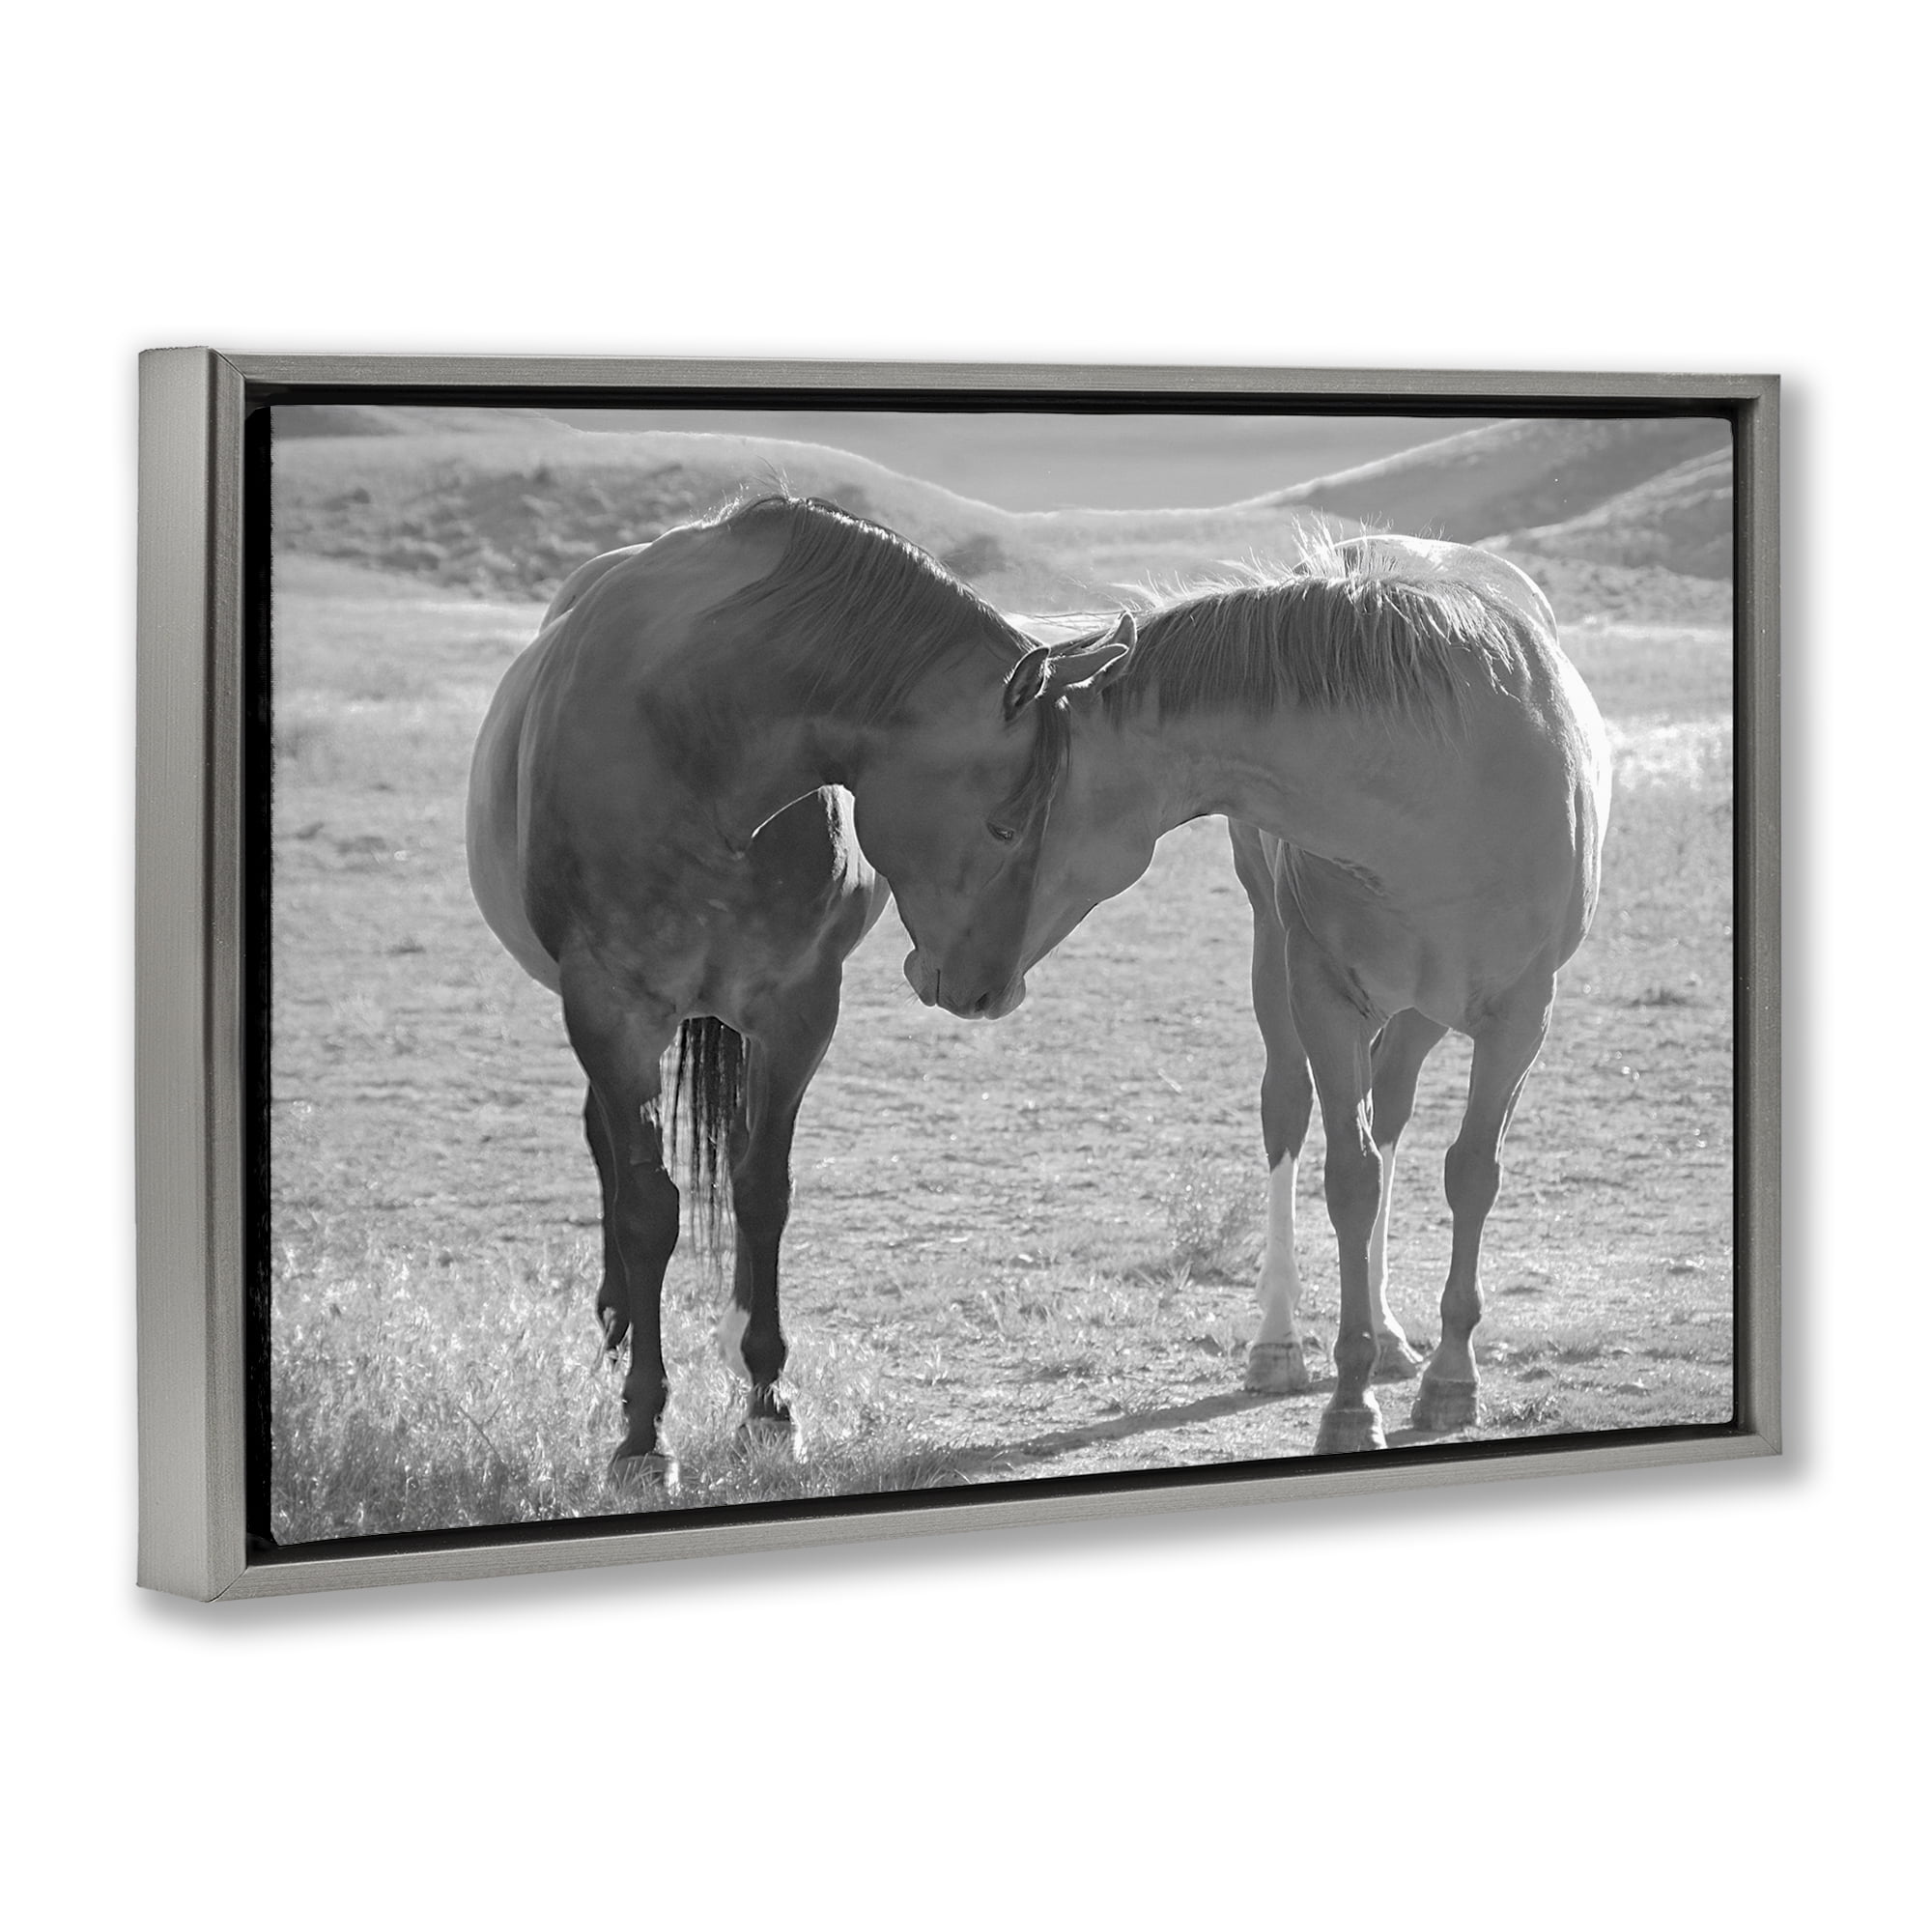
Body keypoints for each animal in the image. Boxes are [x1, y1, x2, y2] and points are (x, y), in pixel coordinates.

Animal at [466, 493, 1132, 1487]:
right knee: (607, 1151)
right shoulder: (609, 1010)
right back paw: (618, 1323)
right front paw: (643, 1433)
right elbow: (647, 1208)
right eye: (1007, 824)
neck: (696, 740)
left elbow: (762, 1189)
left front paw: (768, 1401)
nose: (990, 992)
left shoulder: (797, 1008)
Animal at [942, 534, 1611, 1454]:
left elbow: (1471, 1173)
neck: (1444, 783)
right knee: (1289, 1111)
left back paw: (1394, 1335)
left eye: (1002, 823)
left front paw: (1449, 1380)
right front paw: (1349, 1400)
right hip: (1280, 962)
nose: (944, 976)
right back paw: (1279, 1343)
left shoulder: (1521, 1016)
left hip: (1421, 1012)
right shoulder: (1322, 996)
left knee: (1392, 1111)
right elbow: (1349, 1180)